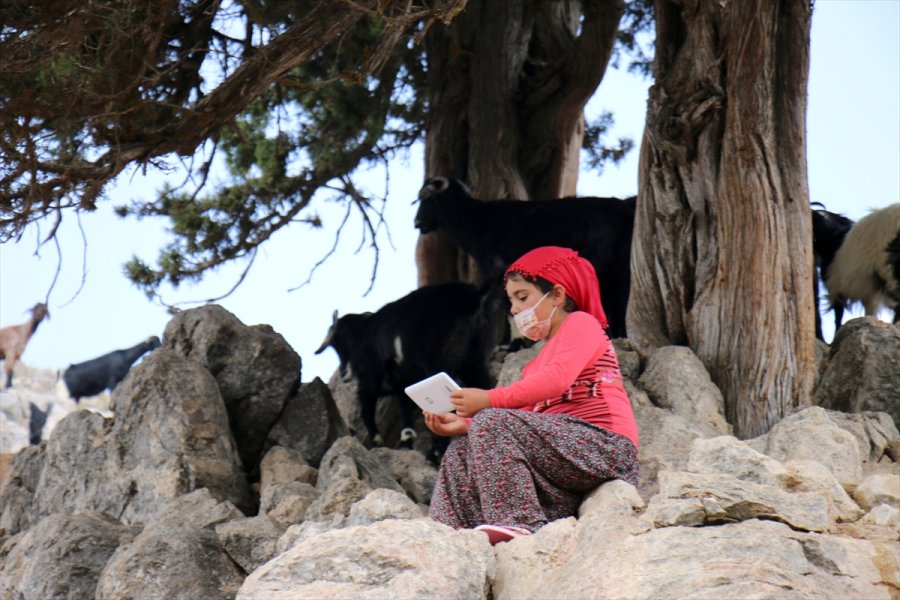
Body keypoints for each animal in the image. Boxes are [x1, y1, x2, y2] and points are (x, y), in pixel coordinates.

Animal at [314, 282, 500, 464]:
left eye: (339, 343)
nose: (344, 374)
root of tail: (474, 298)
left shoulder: (371, 379)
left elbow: (367, 410)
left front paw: (378, 441)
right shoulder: (405, 381)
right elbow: (405, 410)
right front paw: (406, 441)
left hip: (440, 361)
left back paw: (434, 453)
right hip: (475, 360)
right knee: (482, 388)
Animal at [414, 177, 632, 338]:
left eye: (426, 199)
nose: (417, 223)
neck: (477, 220)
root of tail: (619, 207)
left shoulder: (499, 269)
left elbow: (510, 310)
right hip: (618, 265)